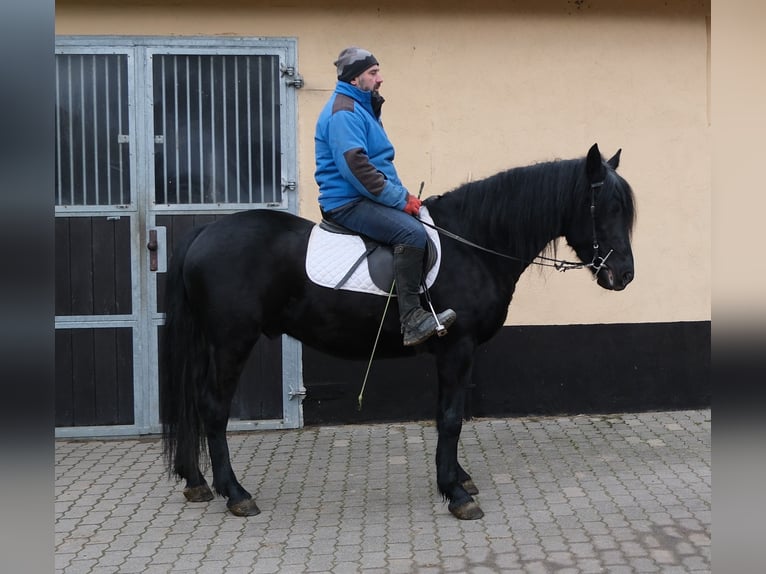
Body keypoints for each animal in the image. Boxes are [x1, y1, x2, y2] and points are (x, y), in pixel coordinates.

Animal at [160, 143, 636, 520]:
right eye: (609, 208)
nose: (624, 275)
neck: (473, 243)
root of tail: (204, 231)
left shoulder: (454, 352)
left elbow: (449, 413)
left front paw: (459, 478)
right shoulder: (457, 347)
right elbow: (450, 418)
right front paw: (456, 493)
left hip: (209, 342)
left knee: (194, 401)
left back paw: (196, 482)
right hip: (231, 341)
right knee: (213, 407)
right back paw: (235, 493)